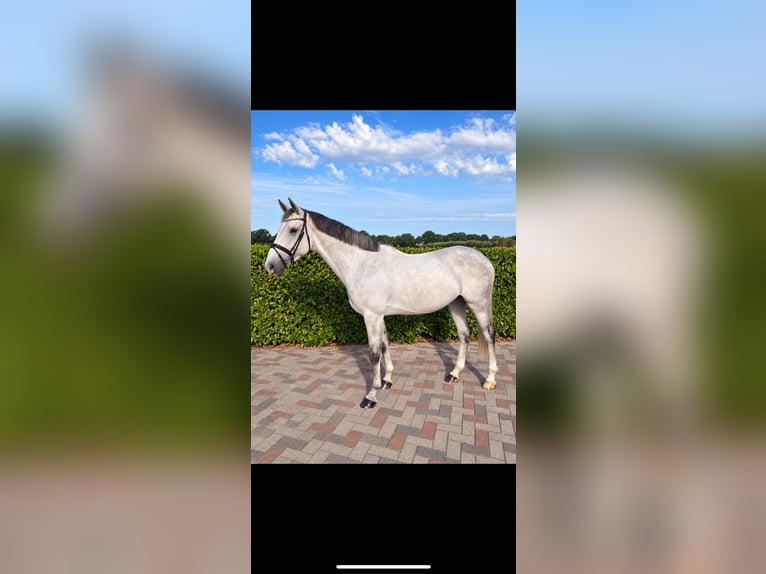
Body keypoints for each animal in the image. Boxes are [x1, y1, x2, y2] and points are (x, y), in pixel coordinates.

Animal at [264, 198, 499, 409]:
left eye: (293, 230)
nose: (270, 266)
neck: (361, 264)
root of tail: (484, 259)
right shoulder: (380, 316)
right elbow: (385, 345)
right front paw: (387, 380)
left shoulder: (372, 315)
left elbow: (374, 353)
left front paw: (371, 395)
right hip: (456, 303)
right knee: (464, 334)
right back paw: (454, 374)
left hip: (478, 304)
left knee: (489, 335)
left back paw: (490, 380)